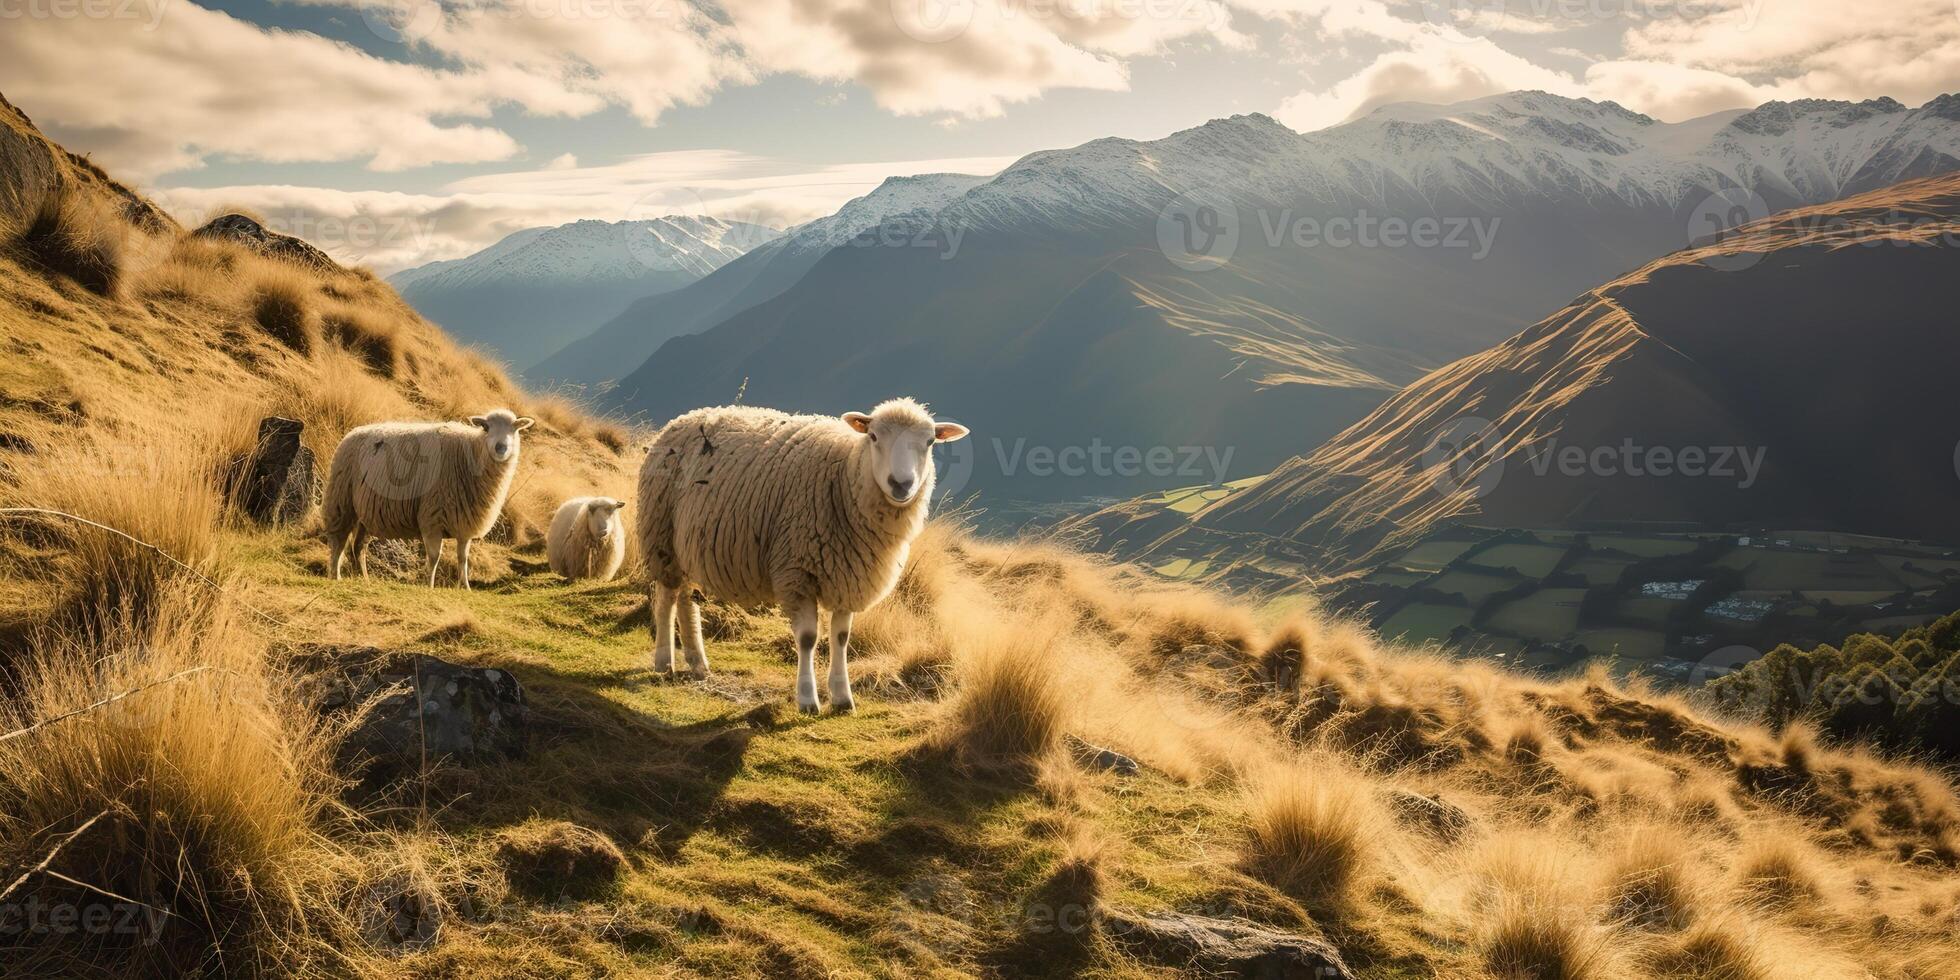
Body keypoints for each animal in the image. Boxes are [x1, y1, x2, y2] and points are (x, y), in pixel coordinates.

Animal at [321, 407, 537, 588]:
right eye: (486, 427)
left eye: (515, 428)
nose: (501, 447)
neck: (469, 453)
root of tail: (353, 432)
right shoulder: (432, 516)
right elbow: (434, 557)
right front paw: (429, 585)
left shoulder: (464, 521)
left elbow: (463, 558)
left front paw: (465, 587)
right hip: (341, 500)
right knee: (338, 542)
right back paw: (335, 575)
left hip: (367, 512)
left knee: (358, 547)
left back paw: (364, 578)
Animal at [638, 395, 968, 713]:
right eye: (874, 436)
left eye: (930, 442)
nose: (901, 484)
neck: (844, 478)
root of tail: (684, 418)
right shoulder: (798, 572)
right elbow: (808, 638)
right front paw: (808, 699)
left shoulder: (847, 573)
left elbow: (841, 638)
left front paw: (842, 697)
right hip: (662, 536)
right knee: (667, 597)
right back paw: (664, 662)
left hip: (688, 545)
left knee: (686, 598)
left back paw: (697, 662)